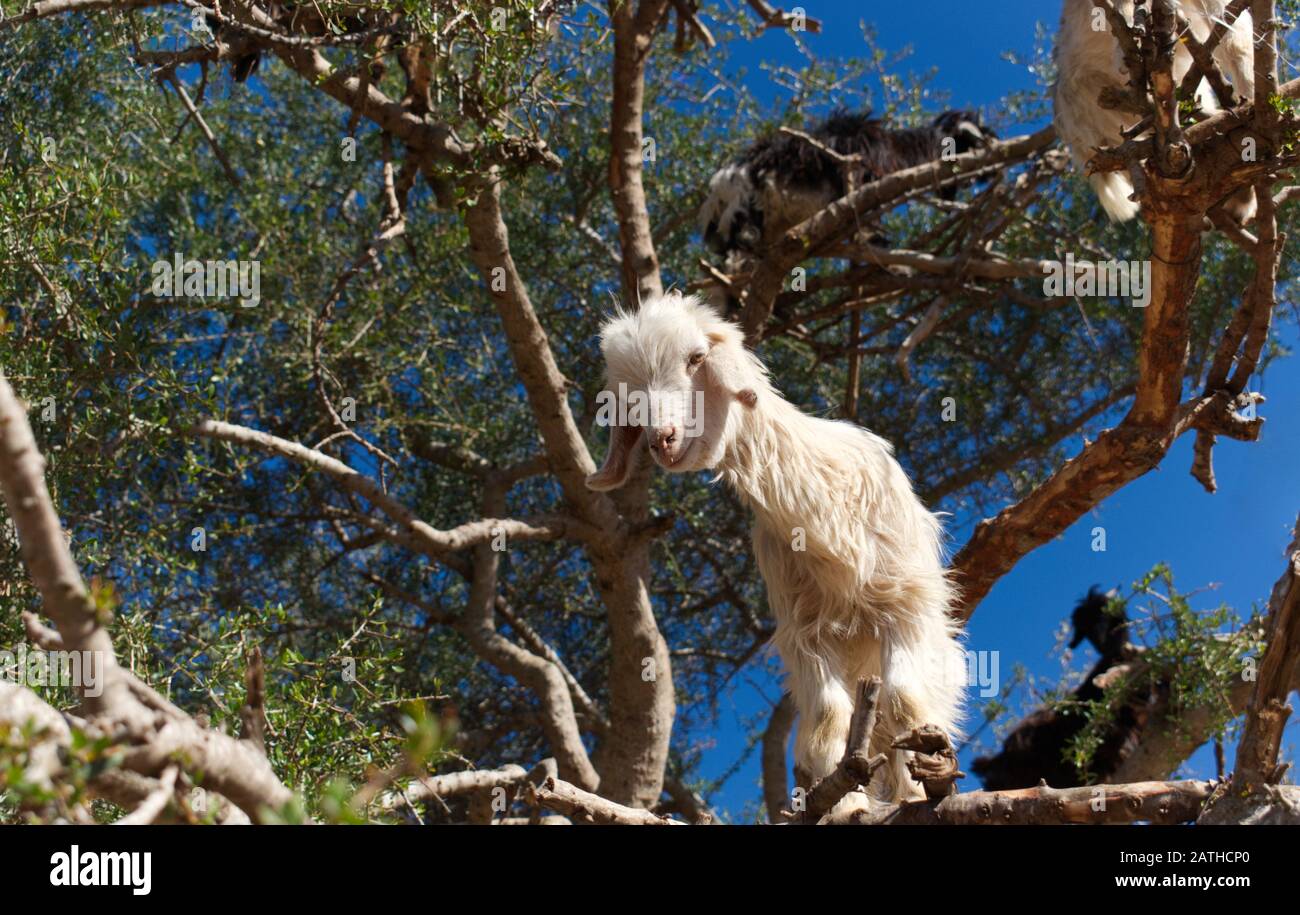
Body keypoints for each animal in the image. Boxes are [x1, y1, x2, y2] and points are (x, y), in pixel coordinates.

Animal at [590, 293, 967, 800]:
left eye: (696, 358)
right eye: (627, 395)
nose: (661, 441)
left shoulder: (905, 603)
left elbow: (905, 701)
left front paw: (918, 793)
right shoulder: (804, 630)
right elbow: (827, 721)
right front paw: (846, 804)